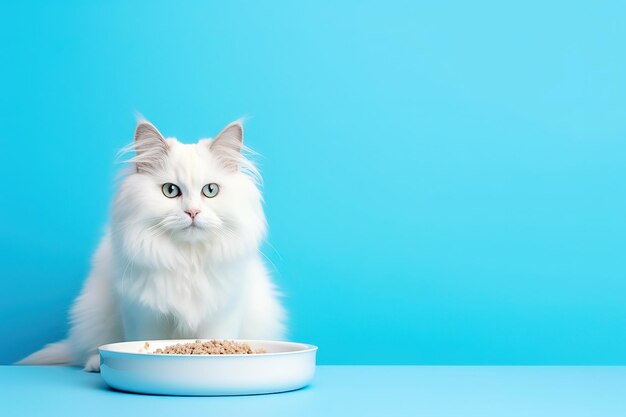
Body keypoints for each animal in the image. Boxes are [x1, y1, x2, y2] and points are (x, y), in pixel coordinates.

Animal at [17, 118, 286, 368]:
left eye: (210, 190)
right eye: (170, 190)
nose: (192, 212)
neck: (188, 259)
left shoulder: (222, 313)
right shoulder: (142, 313)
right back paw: (94, 363)